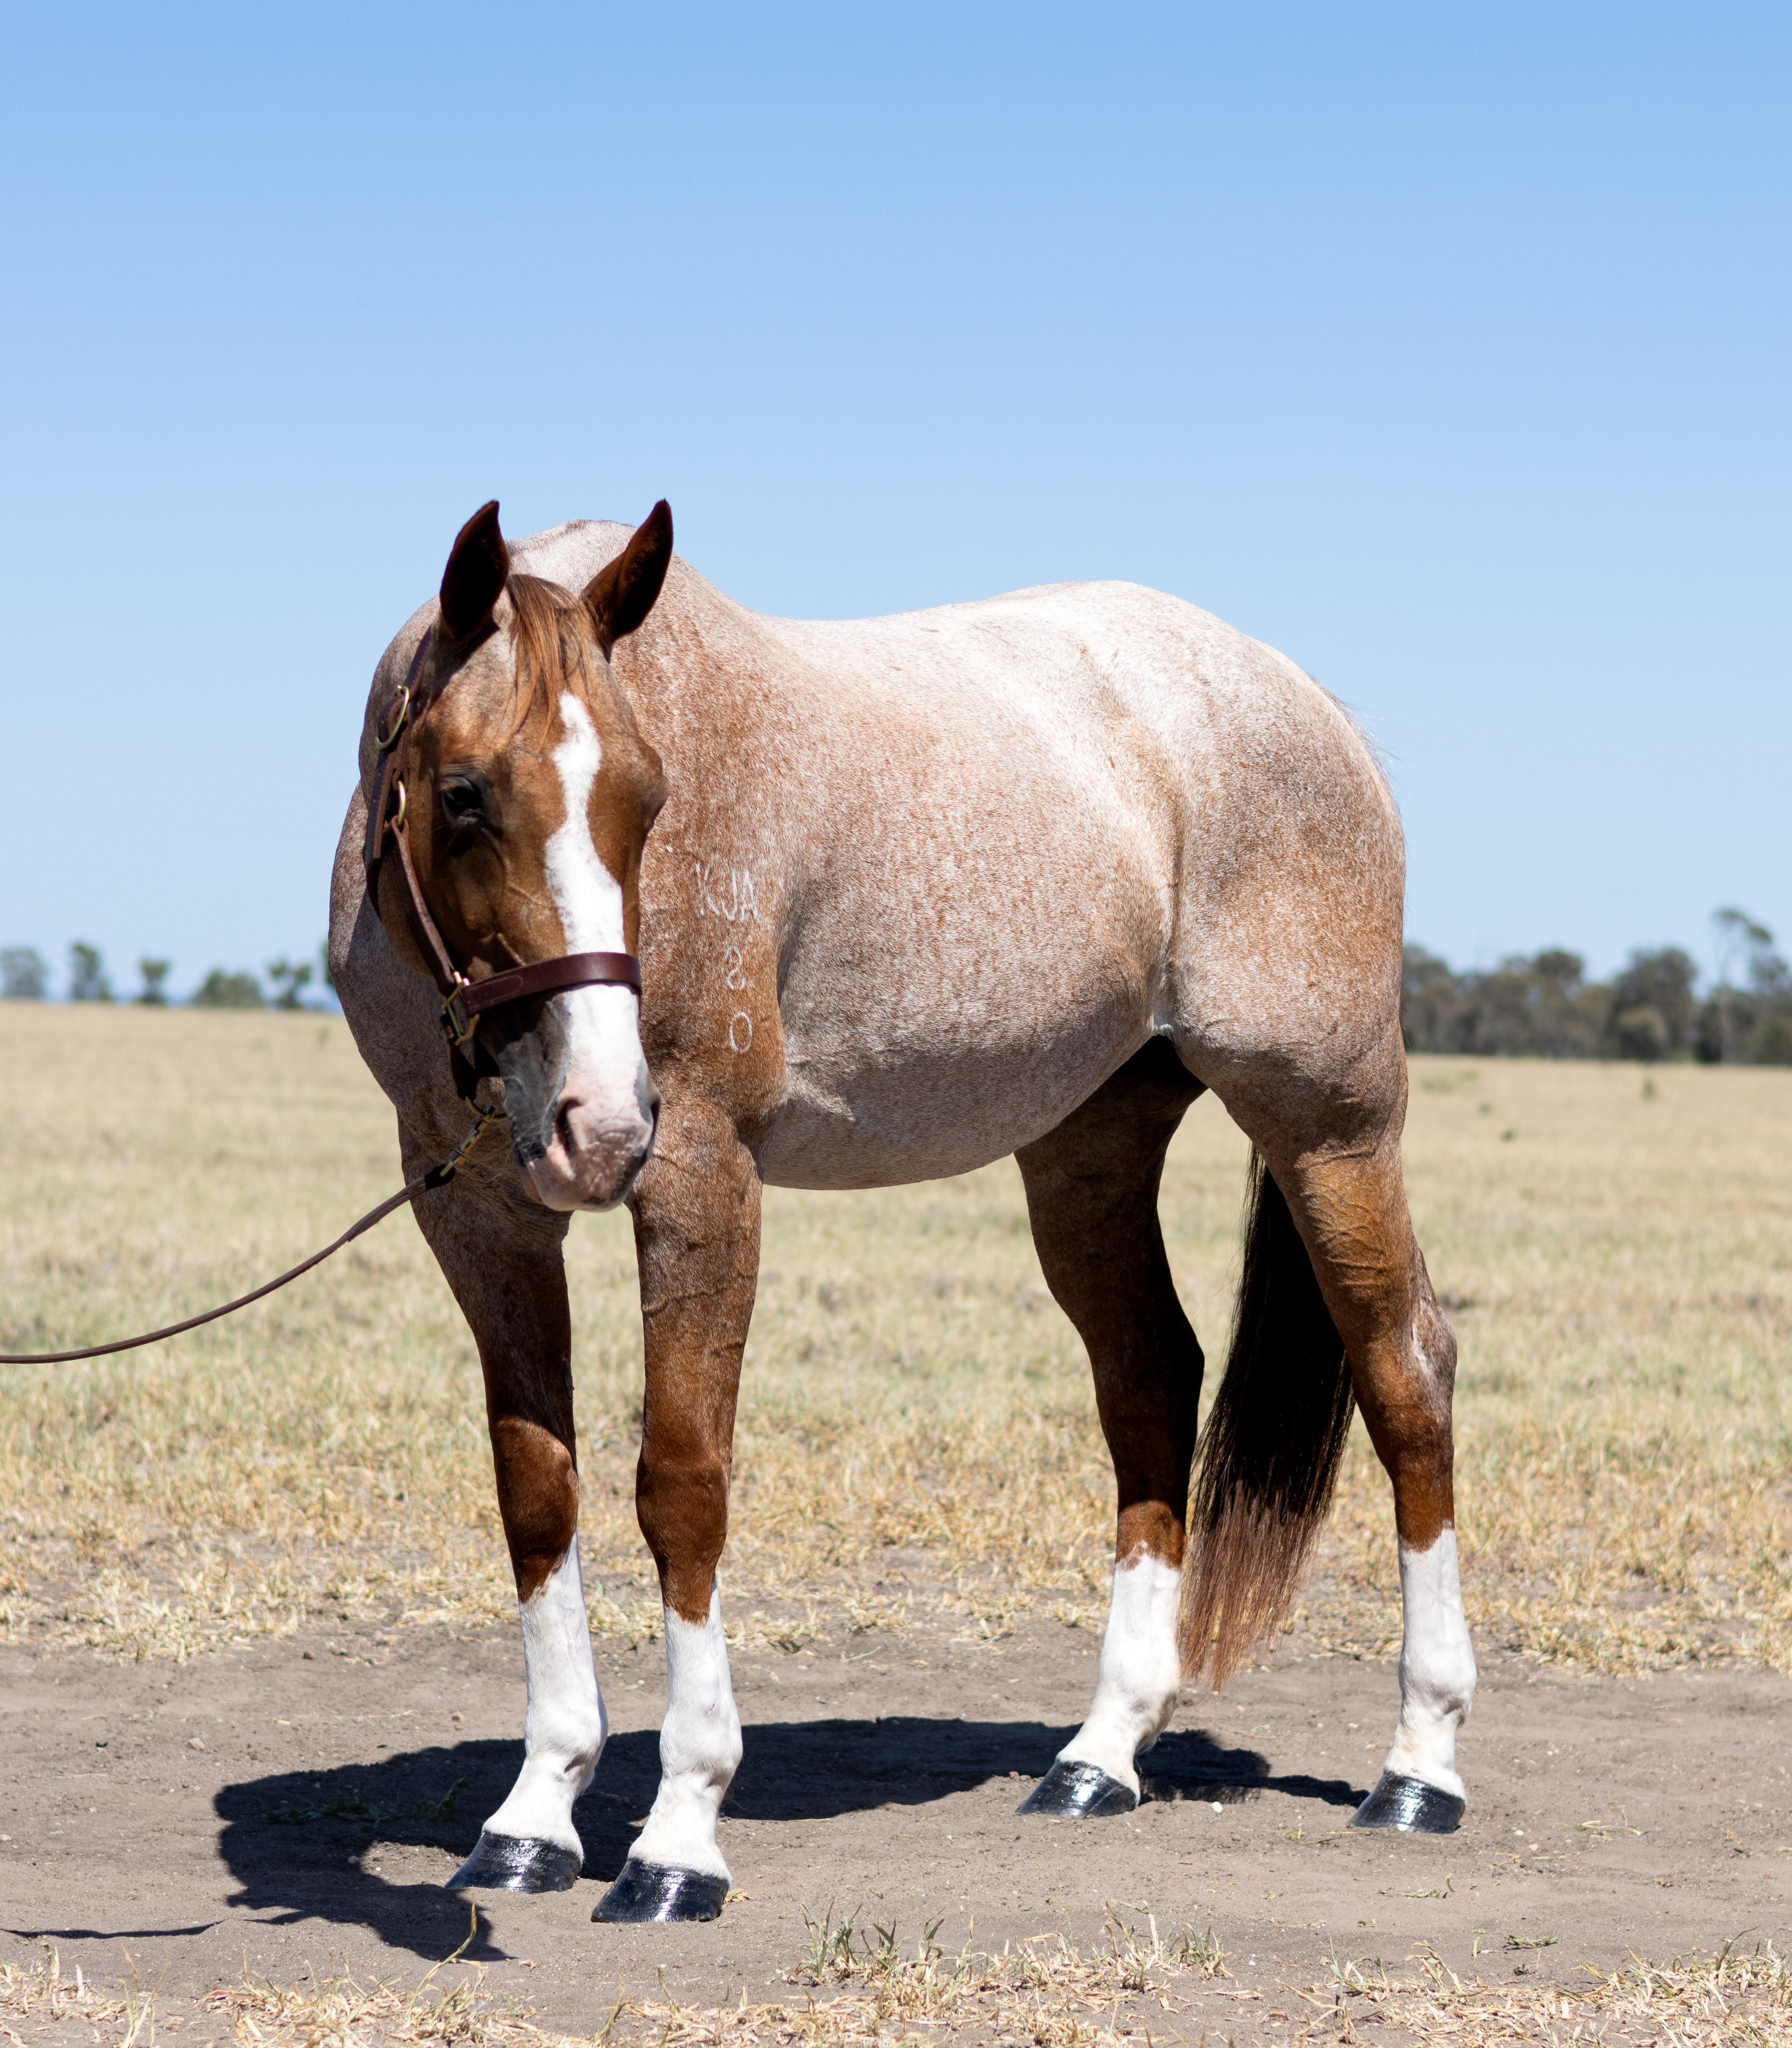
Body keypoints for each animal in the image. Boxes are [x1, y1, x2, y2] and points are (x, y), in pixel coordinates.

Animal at [328, 499, 1476, 1925]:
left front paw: (677, 1836)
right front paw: (534, 1814)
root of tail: (1302, 700)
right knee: (1152, 1379)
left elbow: (681, 1484)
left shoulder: (700, 1173)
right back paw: (1100, 1754)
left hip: (1326, 1125)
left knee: (1404, 1371)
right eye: (466, 793)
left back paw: (1417, 1766)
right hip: (1089, 1151)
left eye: (650, 796)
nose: (600, 1117)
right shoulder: (479, 1212)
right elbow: (537, 1489)